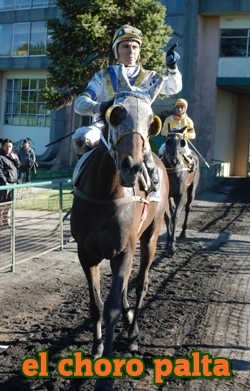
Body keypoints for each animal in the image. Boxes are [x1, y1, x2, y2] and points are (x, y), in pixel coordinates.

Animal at [70, 66, 170, 390]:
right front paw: (97, 347)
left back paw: (134, 335)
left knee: (141, 284)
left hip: (150, 237)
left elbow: (113, 307)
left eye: (152, 123)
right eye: (116, 114)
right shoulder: (86, 253)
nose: (132, 167)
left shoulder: (124, 250)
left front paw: (106, 376)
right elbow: (97, 305)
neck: (106, 193)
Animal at [161, 129, 200, 258]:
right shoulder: (166, 196)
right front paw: (168, 242)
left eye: (182, 142)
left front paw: (172, 247)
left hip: (192, 189)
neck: (172, 171)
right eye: (168, 141)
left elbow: (175, 217)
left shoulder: (181, 195)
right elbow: (168, 217)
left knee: (188, 208)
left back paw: (183, 233)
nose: (175, 161)